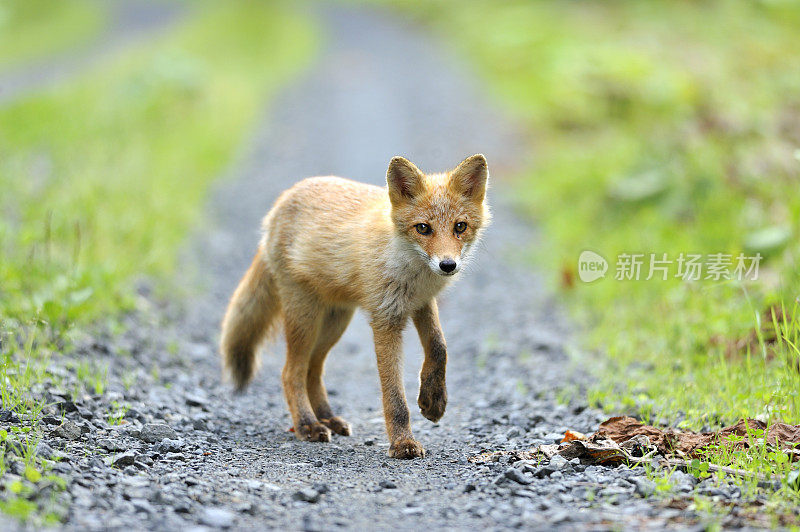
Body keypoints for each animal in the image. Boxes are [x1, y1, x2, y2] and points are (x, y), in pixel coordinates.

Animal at [222, 153, 490, 458]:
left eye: (460, 227)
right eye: (423, 228)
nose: (448, 265)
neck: (409, 268)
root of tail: (281, 202)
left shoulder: (421, 302)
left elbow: (438, 347)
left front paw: (433, 401)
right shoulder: (385, 319)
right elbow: (394, 395)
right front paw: (402, 443)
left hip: (334, 323)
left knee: (313, 371)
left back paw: (328, 418)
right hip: (305, 319)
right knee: (291, 373)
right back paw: (307, 425)